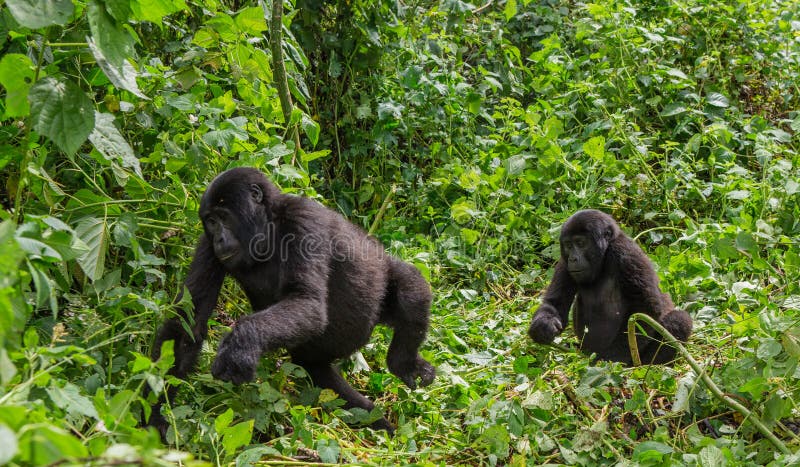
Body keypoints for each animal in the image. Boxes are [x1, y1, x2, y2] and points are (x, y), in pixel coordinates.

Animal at [150, 167, 438, 436]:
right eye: (210, 222)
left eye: (223, 217)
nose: (219, 238)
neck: (269, 225)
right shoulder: (207, 245)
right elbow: (188, 321)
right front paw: (154, 414)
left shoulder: (303, 221)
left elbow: (306, 301)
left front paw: (241, 343)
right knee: (316, 371)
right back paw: (370, 416)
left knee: (411, 287)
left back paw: (404, 363)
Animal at [528, 210, 692, 368]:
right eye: (568, 245)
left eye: (581, 243)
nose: (573, 259)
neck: (605, 254)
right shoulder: (564, 261)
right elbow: (556, 302)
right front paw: (543, 326)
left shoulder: (626, 253)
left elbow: (645, 309)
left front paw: (612, 358)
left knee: (680, 320)